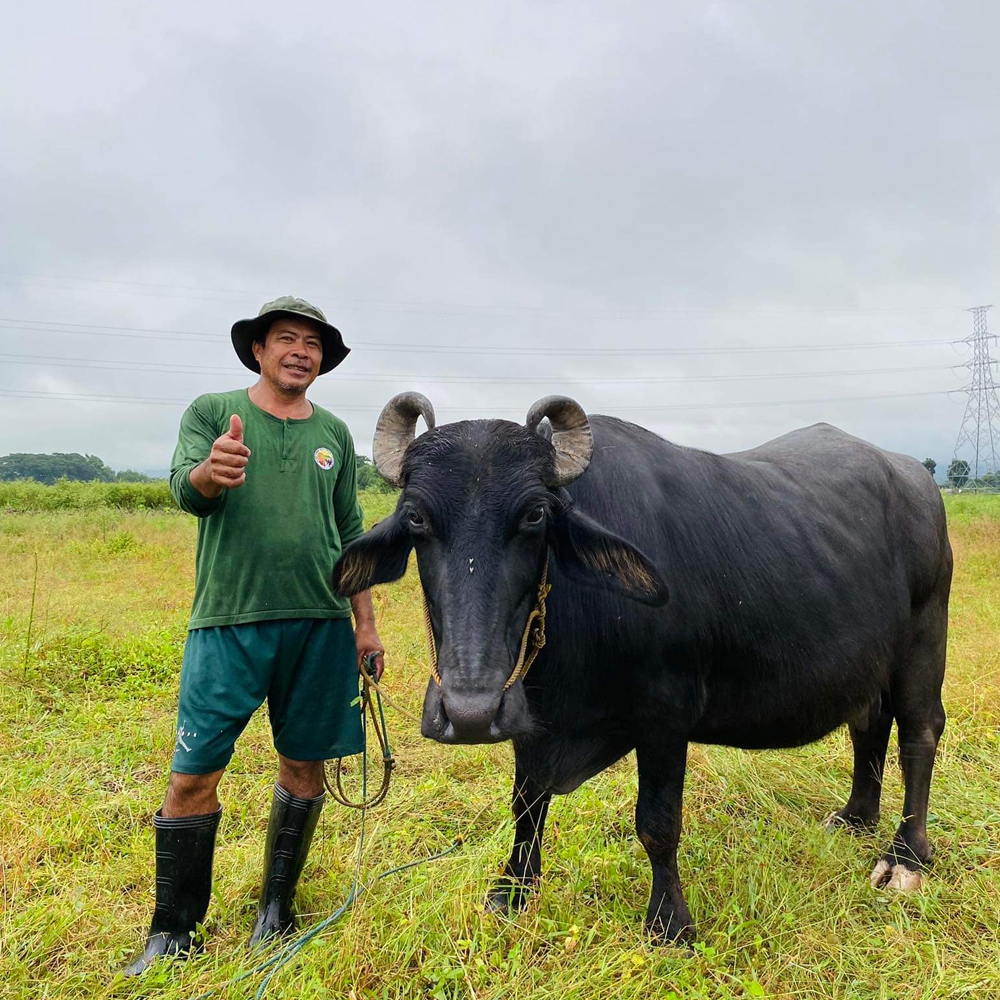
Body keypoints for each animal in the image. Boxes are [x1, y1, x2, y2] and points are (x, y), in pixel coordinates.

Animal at [332, 394, 948, 940]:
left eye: (535, 514)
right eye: (416, 517)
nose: (469, 713)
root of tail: (913, 477)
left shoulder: (666, 717)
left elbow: (656, 824)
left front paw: (670, 922)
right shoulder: (529, 718)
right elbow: (526, 805)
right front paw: (513, 890)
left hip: (924, 641)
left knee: (919, 732)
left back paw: (905, 856)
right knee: (869, 724)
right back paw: (855, 816)